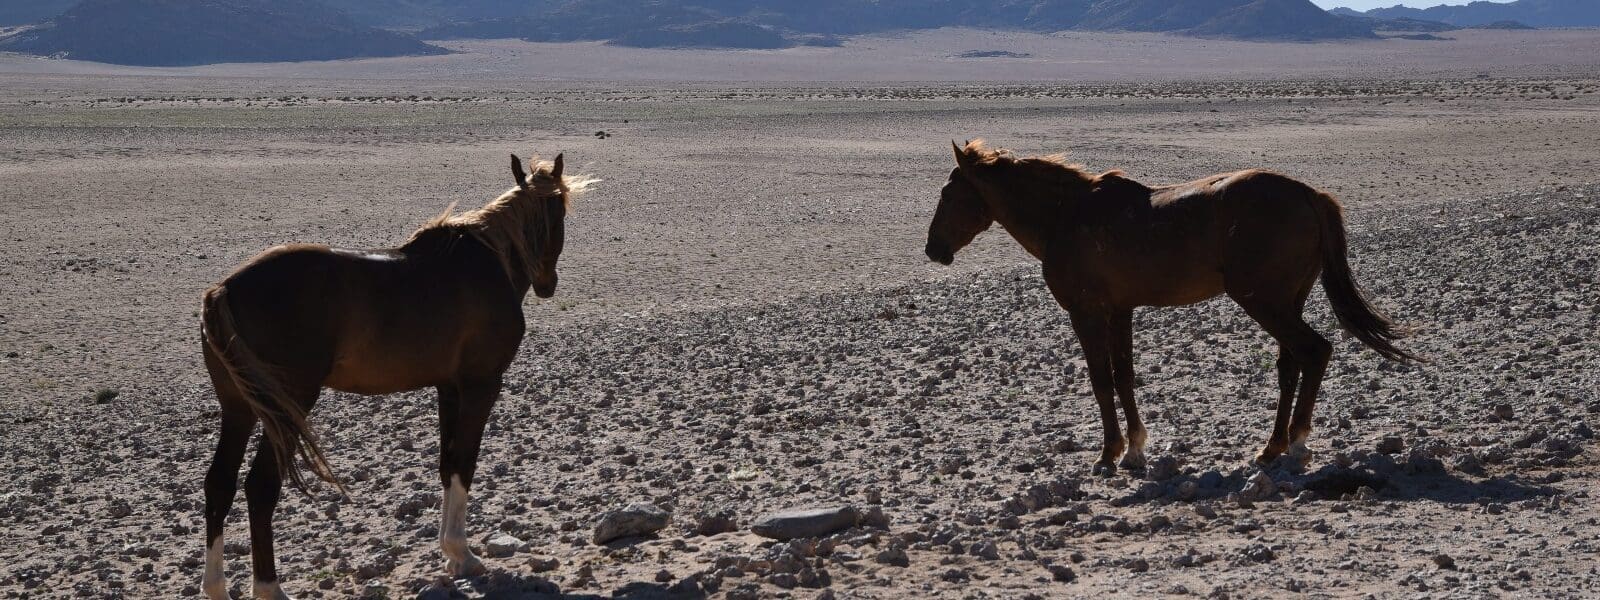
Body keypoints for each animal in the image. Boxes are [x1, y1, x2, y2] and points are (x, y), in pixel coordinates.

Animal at [198, 153, 595, 600]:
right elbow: (465, 461)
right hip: (287, 408)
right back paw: (269, 588)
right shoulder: (481, 385)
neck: (491, 260)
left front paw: (450, 555)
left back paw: (216, 586)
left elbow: (447, 463)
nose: (547, 283)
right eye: (559, 213)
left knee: (220, 485)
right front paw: (463, 553)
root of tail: (224, 290)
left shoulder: (449, 388)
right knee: (260, 487)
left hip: (239, 410)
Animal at [928, 140, 1414, 480]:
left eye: (948, 196)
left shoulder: (1086, 313)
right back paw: (1271, 447)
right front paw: (1135, 450)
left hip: (1265, 302)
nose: (933, 250)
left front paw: (1108, 455)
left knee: (1314, 352)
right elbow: (1123, 377)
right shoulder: (1119, 311)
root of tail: (1310, 195)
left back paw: (1295, 445)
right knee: (1289, 365)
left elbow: (1101, 381)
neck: (1066, 217)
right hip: (1287, 301)